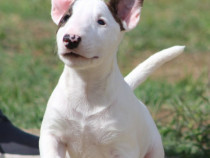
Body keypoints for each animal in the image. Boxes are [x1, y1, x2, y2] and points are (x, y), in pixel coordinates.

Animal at [39, 0, 184, 157]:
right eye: (65, 18)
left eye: (101, 22)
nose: (71, 38)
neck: (86, 85)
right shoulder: (52, 135)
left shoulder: (123, 147)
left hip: (155, 147)